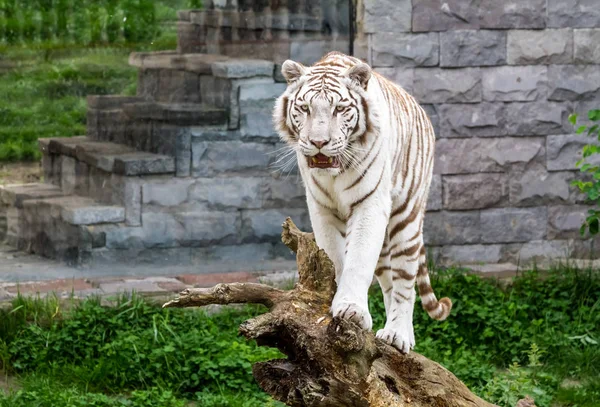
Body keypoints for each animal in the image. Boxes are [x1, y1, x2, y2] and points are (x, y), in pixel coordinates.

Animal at [272, 52, 450, 356]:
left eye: (339, 109)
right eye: (305, 108)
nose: (319, 142)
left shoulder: (370, 205)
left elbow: (358, 261)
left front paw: (351, 310)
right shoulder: (322, 208)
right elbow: (336, 258)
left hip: (406, 219)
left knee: (405, 283)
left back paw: (399, 334)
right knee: (388, 283)